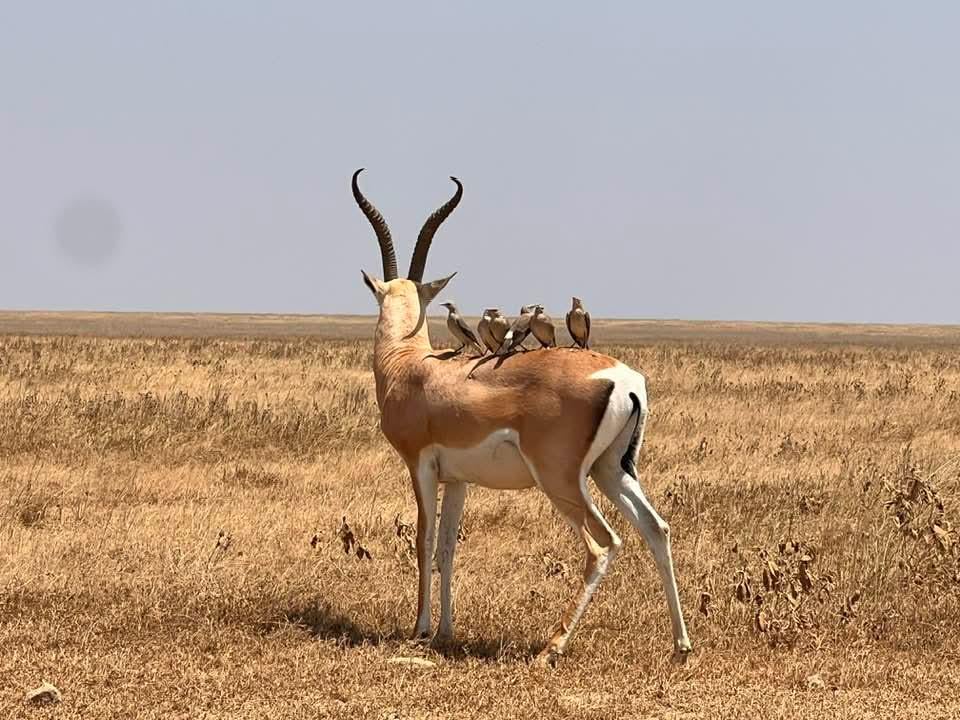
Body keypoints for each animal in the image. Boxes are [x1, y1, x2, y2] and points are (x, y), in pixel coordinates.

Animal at [352, 169, 692, 664]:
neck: (410, 367)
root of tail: (623, 378)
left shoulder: (420, 465)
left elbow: (423, 539)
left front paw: (420, 629)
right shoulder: (458, 479)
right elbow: (448, 548)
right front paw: (445, 632)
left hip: (561, 480)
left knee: (603, 544)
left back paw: (552, 647)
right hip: (612, 470)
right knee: (657, 528)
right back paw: (681, 645)